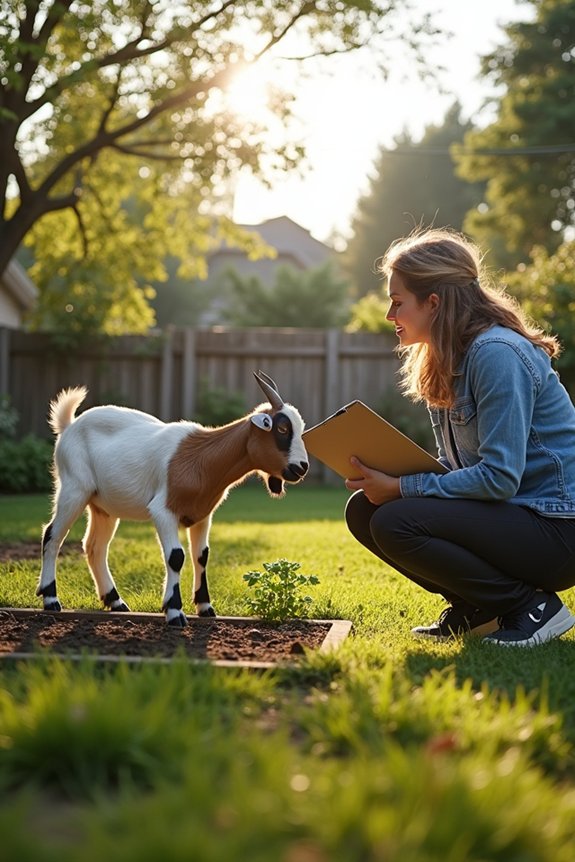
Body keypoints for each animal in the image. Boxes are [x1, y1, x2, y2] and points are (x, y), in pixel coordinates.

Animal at [37, 371, 309, 626]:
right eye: (282, 429)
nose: (302, 467)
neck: (201, 458)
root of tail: (69, 425)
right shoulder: (163, 511)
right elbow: (176, 556)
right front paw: (174, 611)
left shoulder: (202, 515)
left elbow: (202, 555)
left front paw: (205, 607)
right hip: (74, 488)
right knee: (53, 535)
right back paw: (51, 599)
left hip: (103, 507)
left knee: (95, 546)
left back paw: (115, 602)